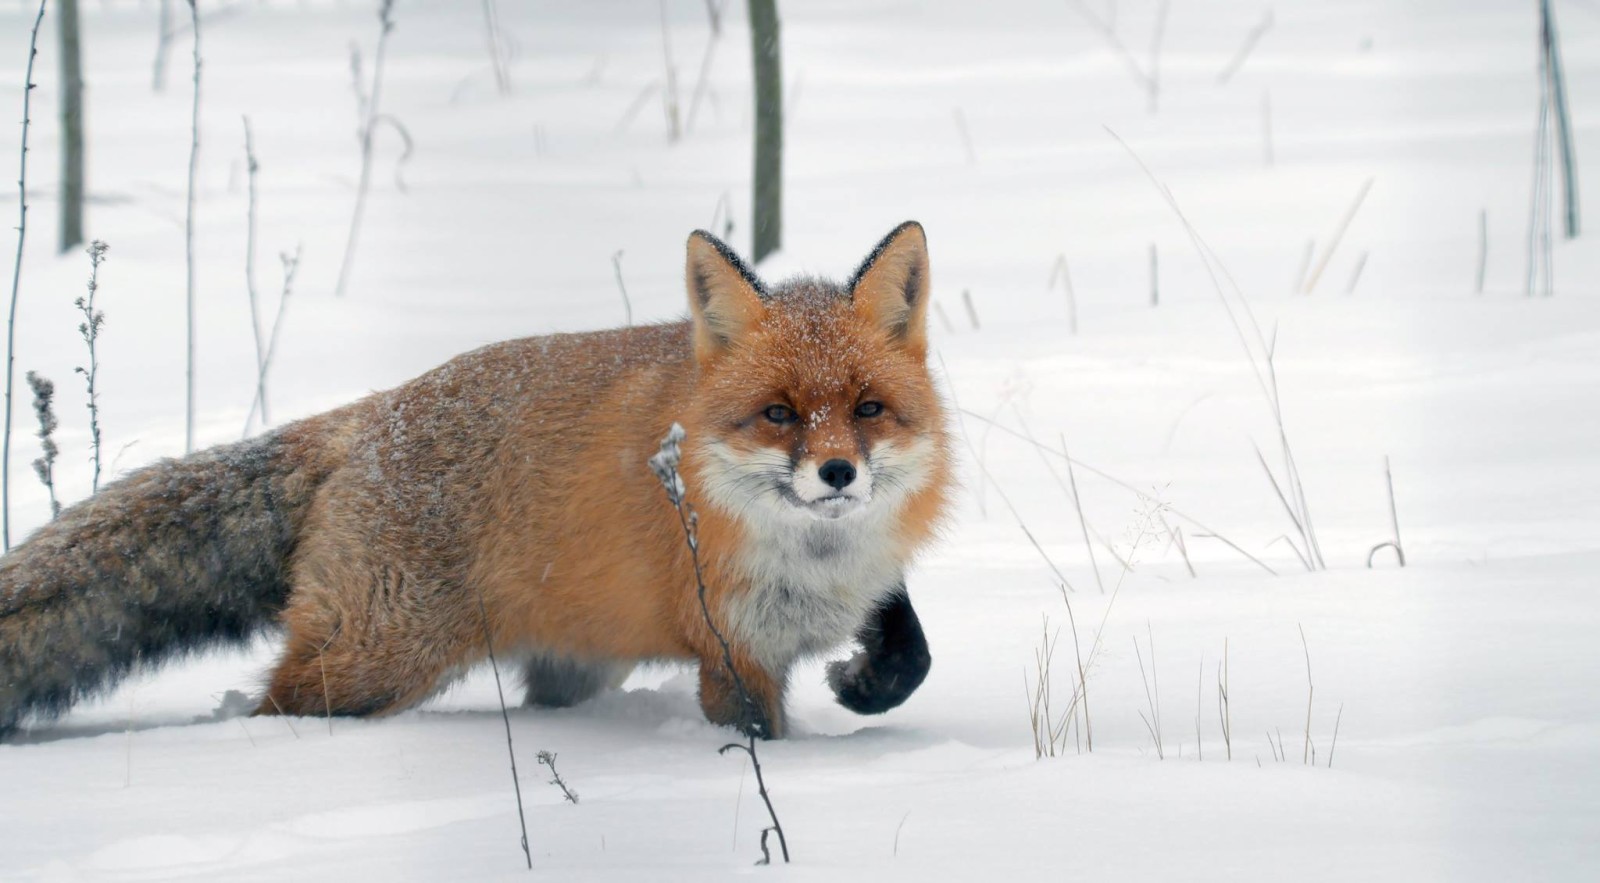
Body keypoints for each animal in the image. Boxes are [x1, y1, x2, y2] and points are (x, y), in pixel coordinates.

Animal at [0, 220, 947, 739]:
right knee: (277, 709)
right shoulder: (729, 650)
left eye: (868, 408)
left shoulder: (861, 581)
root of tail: (372, 414)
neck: (813, 559)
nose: (836, 472)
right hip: (378, 662)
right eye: (779, 413)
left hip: (570, 661)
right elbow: (756, 742)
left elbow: (914, 651)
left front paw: (864, 682)